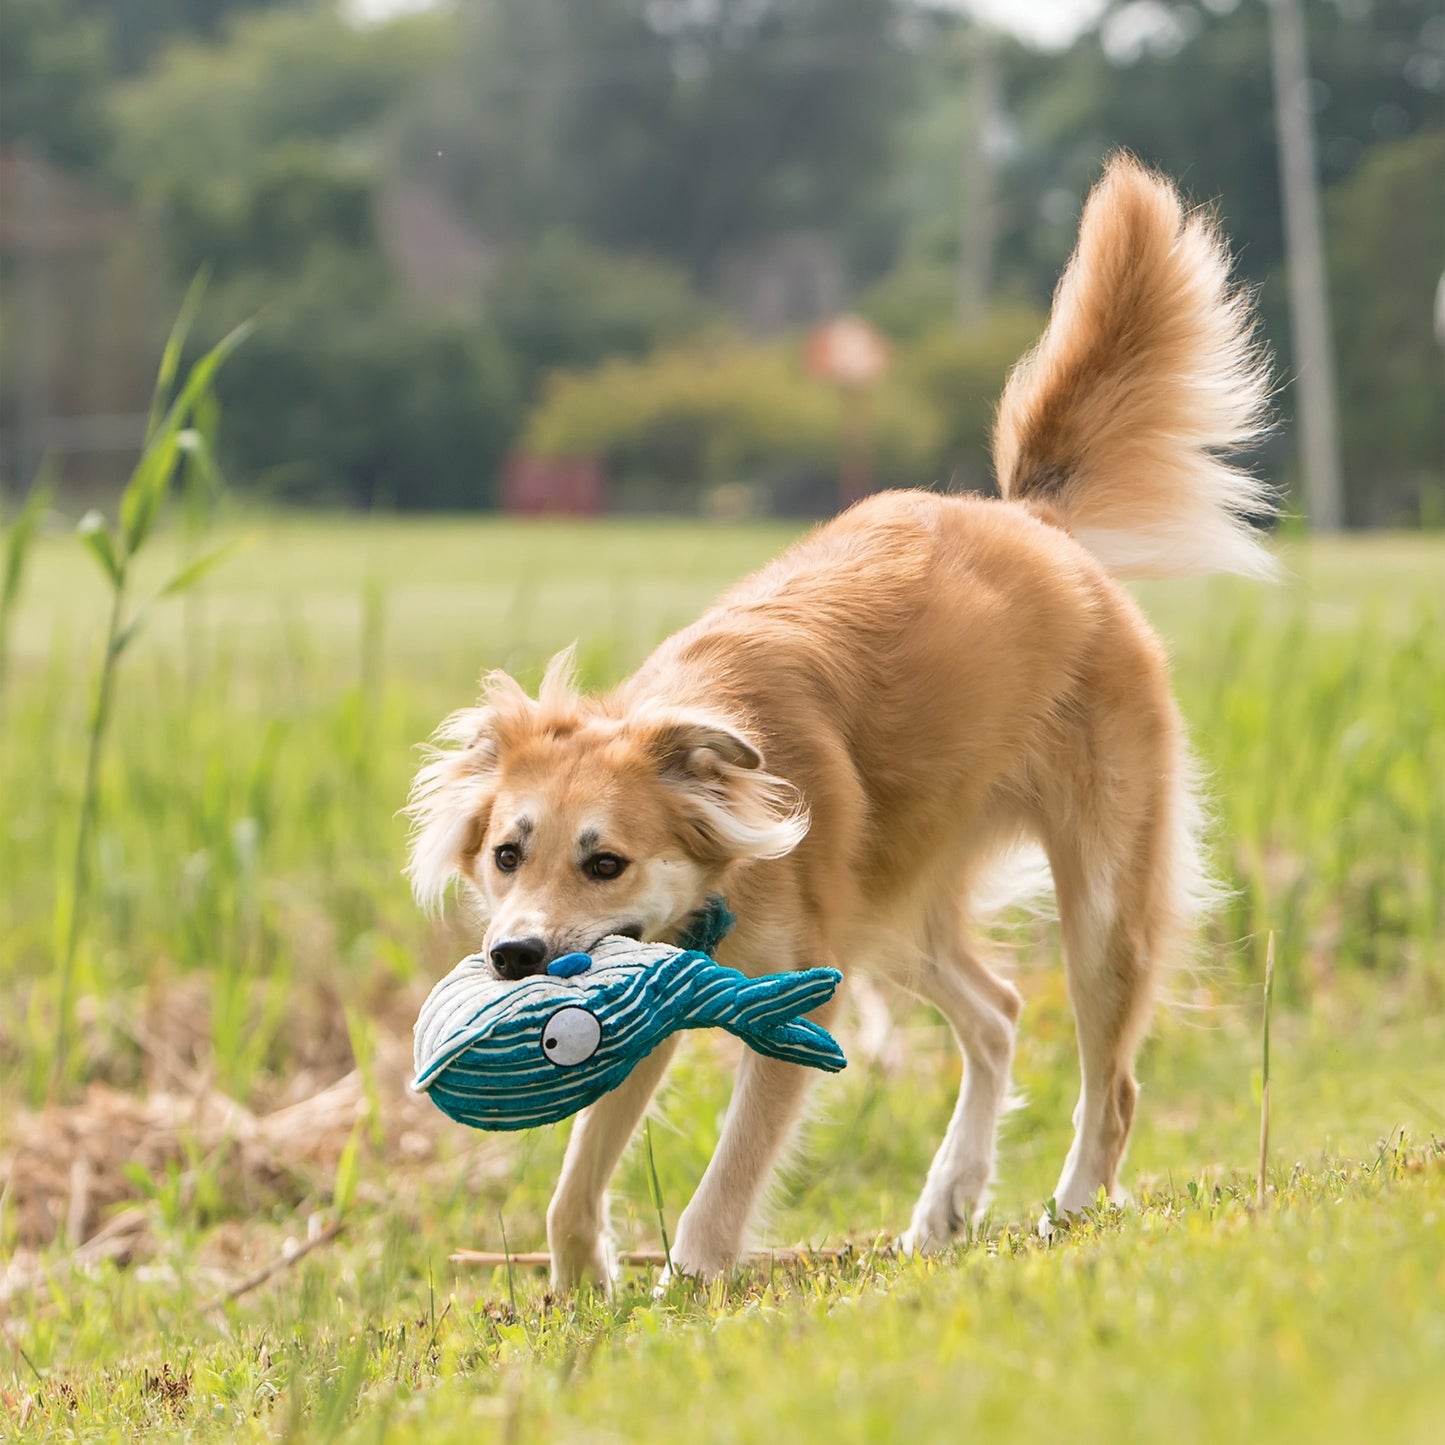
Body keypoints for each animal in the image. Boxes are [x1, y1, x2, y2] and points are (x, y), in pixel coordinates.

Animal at [410, 158, 1277, 1288]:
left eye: (604, 862)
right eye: (507, 853)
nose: (513, 957)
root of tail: (1033, 524)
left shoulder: (794, 997)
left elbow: (726, 1178)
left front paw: (689, 1279)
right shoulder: (646, 993)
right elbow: (572, 1179)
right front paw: (578, 1284)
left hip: (1095, 904)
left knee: (1110, 1082)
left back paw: (1073, 1204)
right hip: (890, 910)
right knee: (996, 1012)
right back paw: (947, 1199)